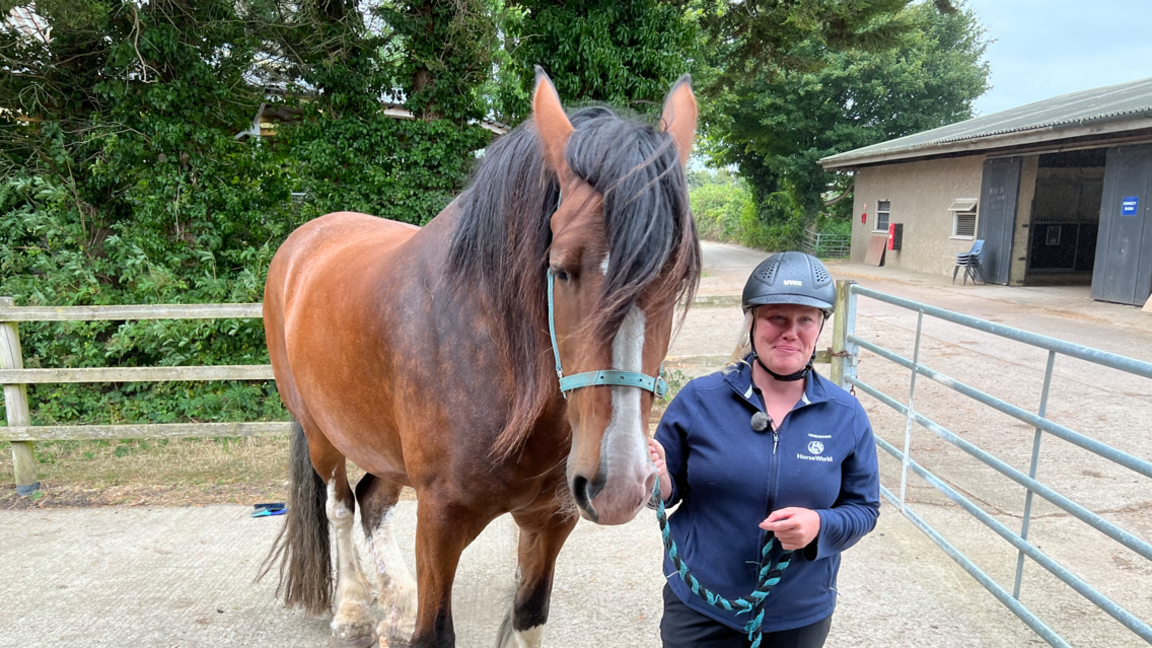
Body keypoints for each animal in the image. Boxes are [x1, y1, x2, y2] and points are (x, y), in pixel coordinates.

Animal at [258, 70, 695, 645]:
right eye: (560, 269)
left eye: (679, 276)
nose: (620, 485)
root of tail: (303, 240)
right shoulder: (441, 521)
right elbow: (435, 632)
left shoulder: (551, 520)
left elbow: (529, 617)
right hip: (321, 433)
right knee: (340, 506)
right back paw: (353, 609)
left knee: (374, 501)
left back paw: (397, 606)